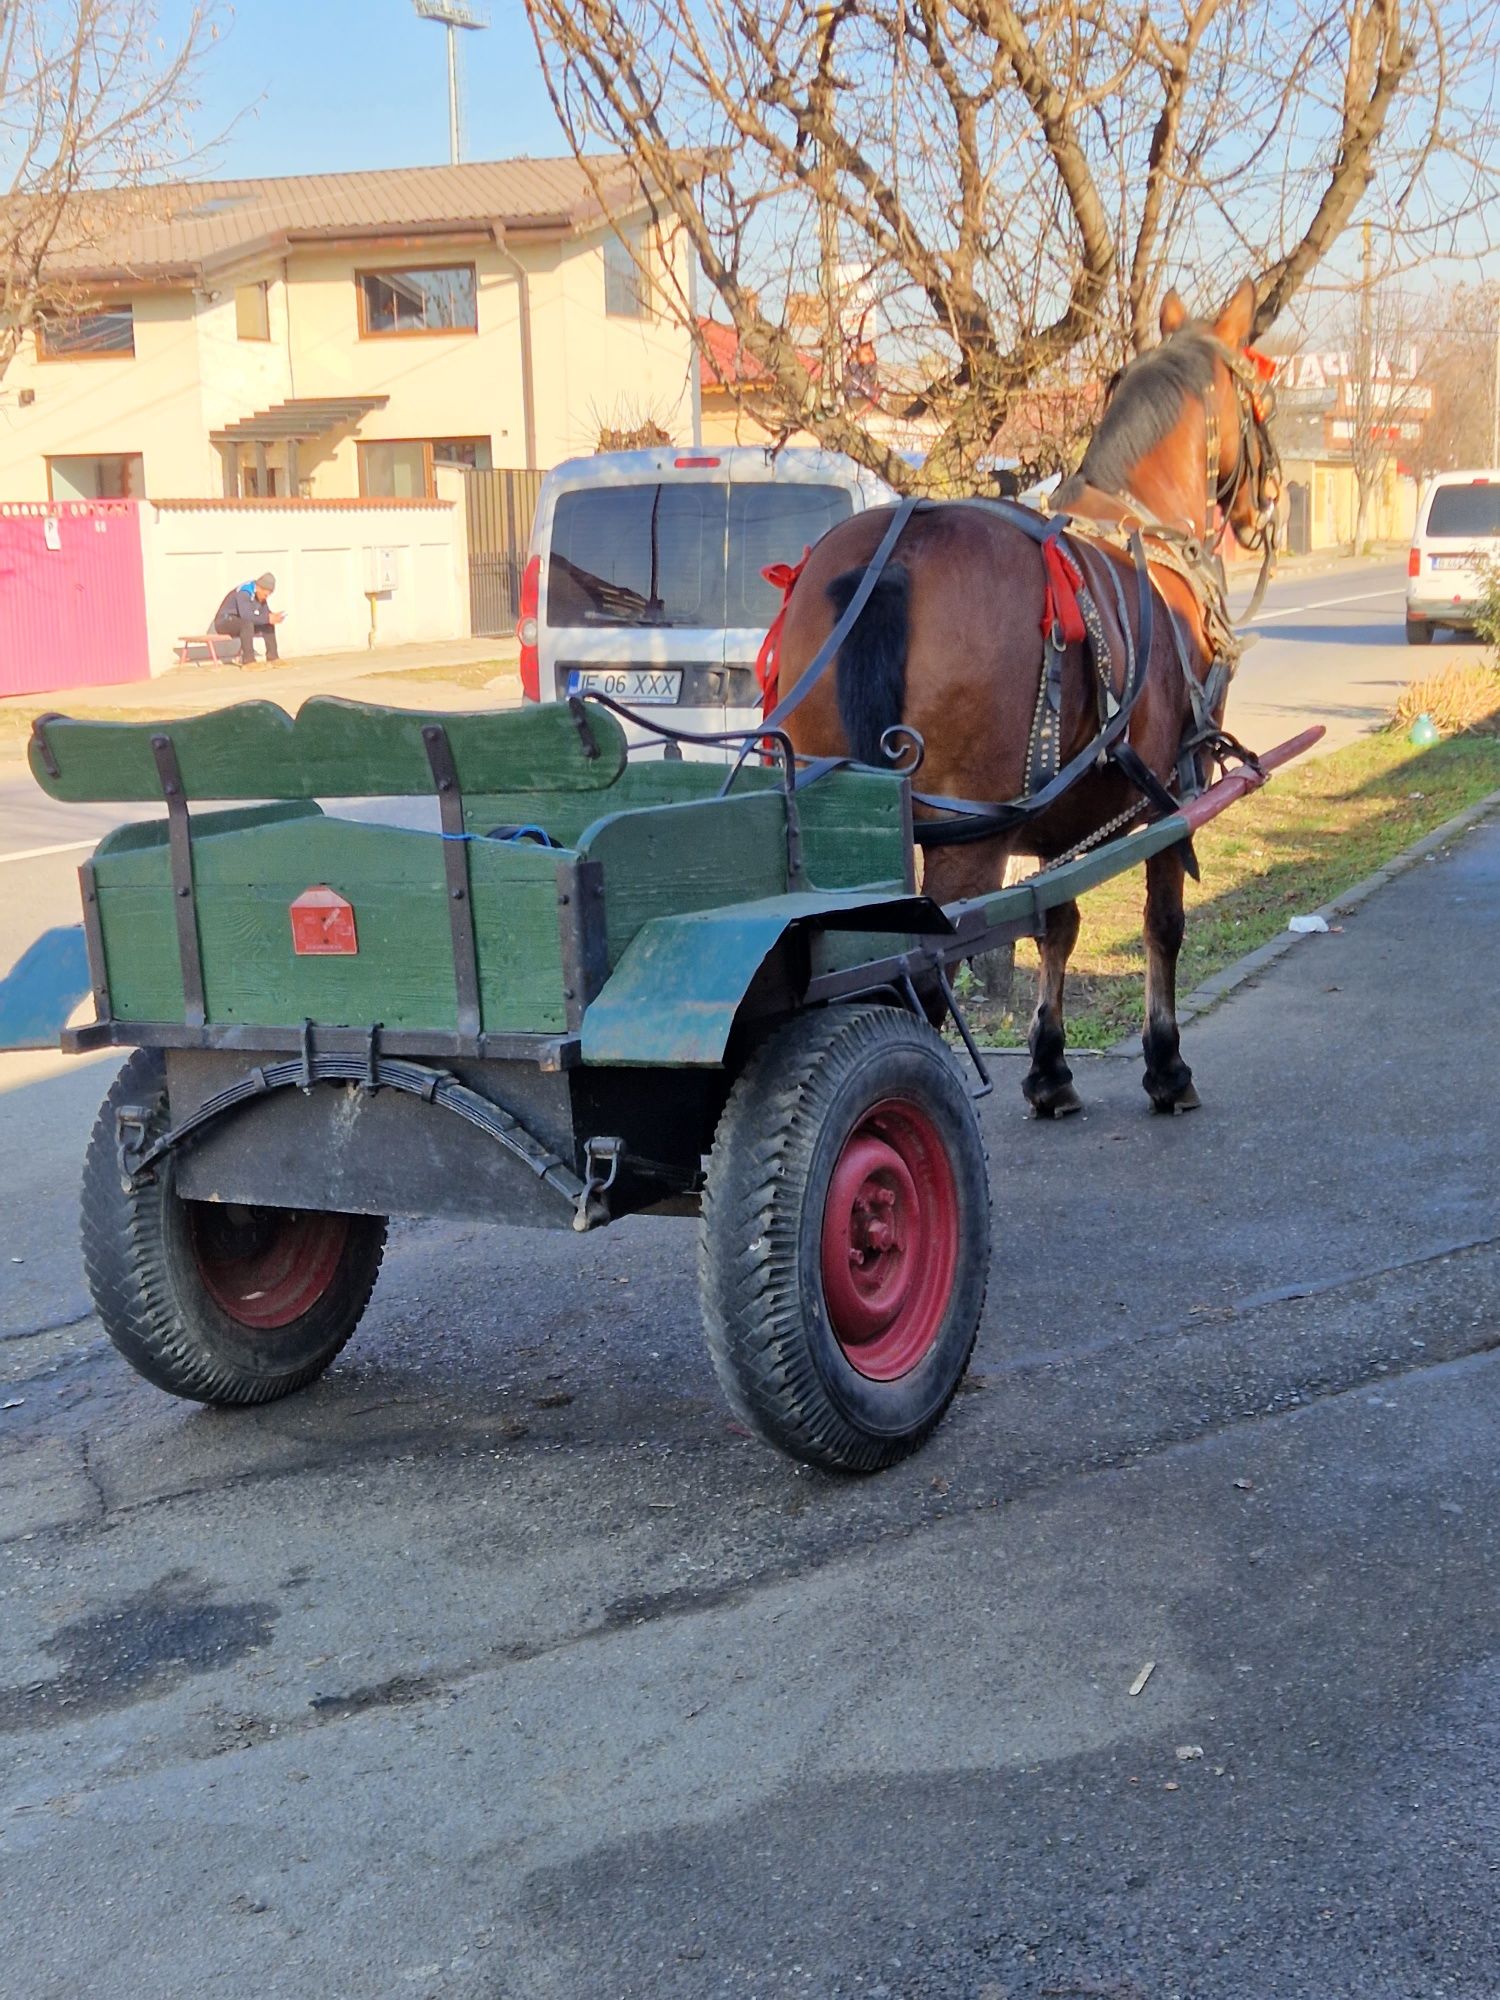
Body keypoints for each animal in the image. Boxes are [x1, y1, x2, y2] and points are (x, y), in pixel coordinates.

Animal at [776, 280, 1280, 1120]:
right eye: (1262, 398)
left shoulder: (1057, 813)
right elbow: (1162, 923)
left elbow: (1057, 923)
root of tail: (894, 557)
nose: (1266, 504)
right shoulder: (1173, 792)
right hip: (968, 842)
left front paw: (1049, 1066)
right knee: (920, 979)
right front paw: (1166, 1064)